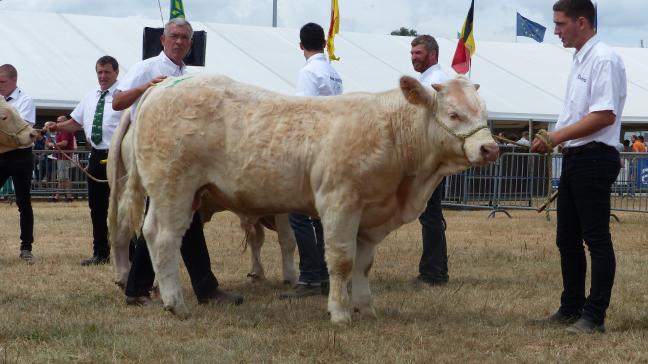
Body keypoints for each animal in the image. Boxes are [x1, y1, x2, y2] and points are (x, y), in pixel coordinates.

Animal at [114, 74, 498, 324]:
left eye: (484, 113)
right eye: (454, 114)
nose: (491, 148)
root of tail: (161, 86)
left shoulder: (371, 214)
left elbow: (363, 264)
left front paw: (365, 308)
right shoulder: (339, 202)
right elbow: (341, 261)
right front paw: (340, 313)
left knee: (154, 234)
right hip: (172, 188)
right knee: (164, 237)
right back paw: (175, 303)